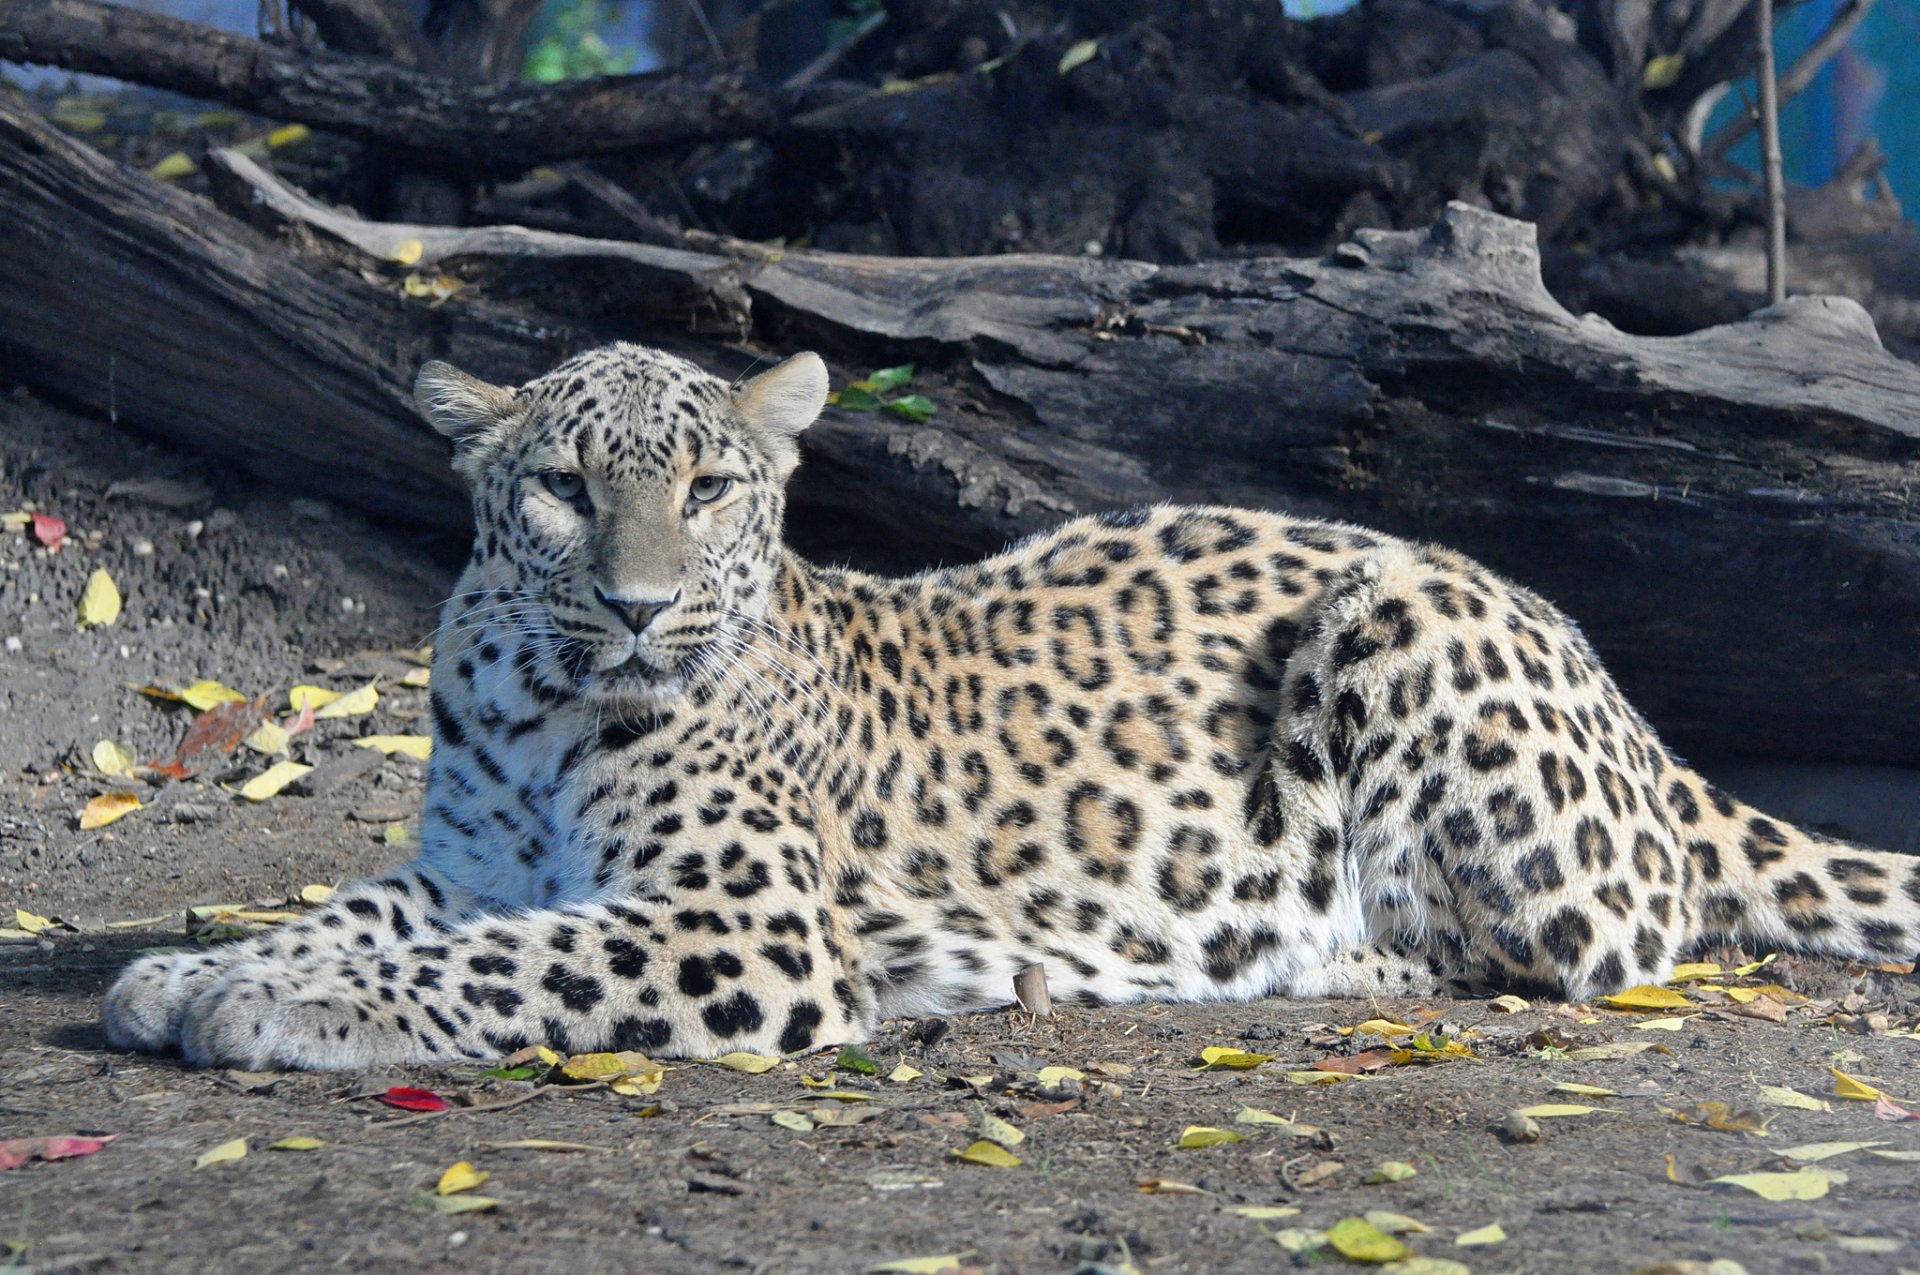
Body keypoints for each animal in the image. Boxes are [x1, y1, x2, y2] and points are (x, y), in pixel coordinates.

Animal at [103, 342, 1920, 1070]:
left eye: (709, 488)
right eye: (560, 487)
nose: (638, 605)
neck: (548, 698)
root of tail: (1646, 727)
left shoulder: (742, 923)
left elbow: (498, 964)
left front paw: (266, 1007)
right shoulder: (466, 862)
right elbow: (360, 911)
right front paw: (193, 972)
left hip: (1403, 634)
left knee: (1592, 944)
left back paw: (1276, 955)